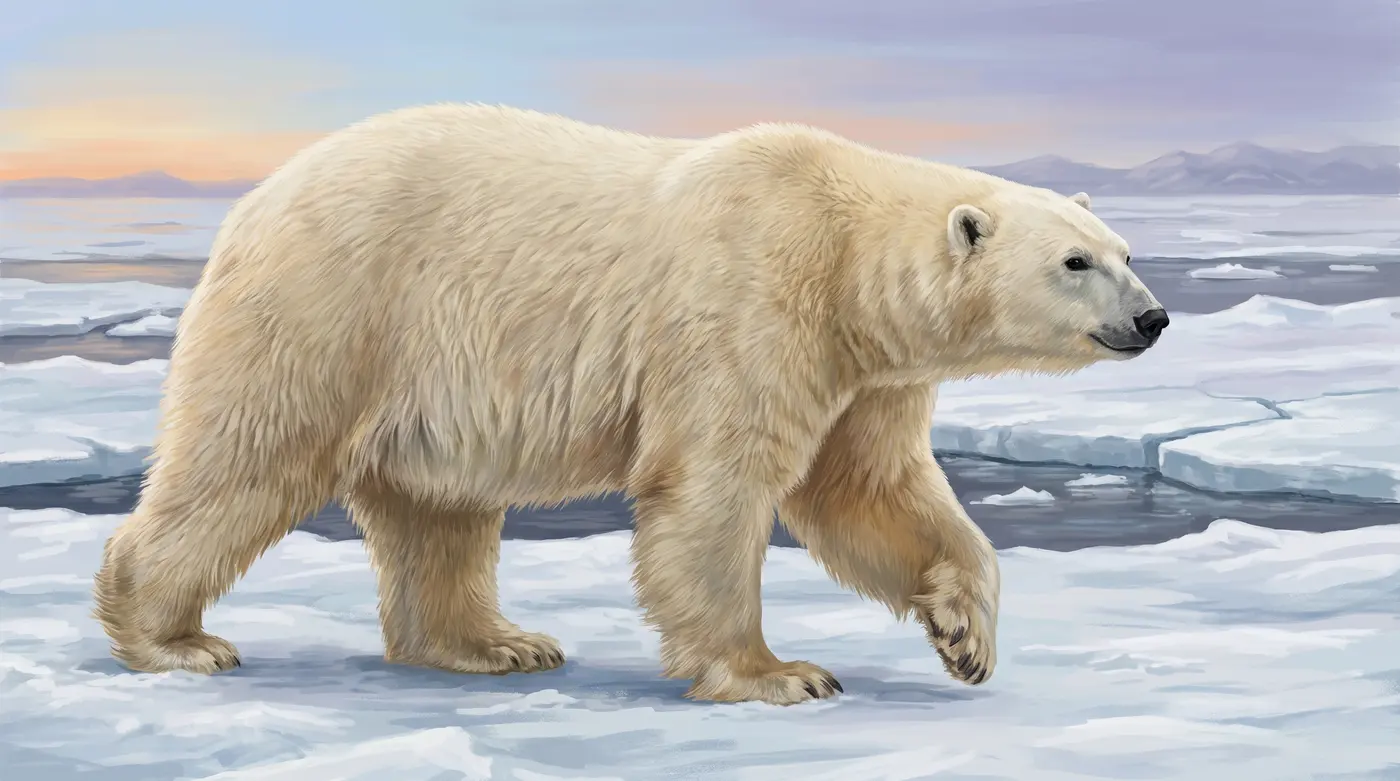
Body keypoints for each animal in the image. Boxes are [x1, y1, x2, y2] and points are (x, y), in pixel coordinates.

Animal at [93, 103, 1168, 705]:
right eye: (1075, 262)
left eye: (1125, 249)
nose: (1153, 317)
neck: (841, 244)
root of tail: (252, 200)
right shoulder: (749, 299)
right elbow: (715, 489)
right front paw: (779, 674)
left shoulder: (867, 372)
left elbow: (869, 490)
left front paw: (966, 636)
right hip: (334, 306)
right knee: (249, 455)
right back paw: (173, 638)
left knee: (436, 511)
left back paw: (496, 643)